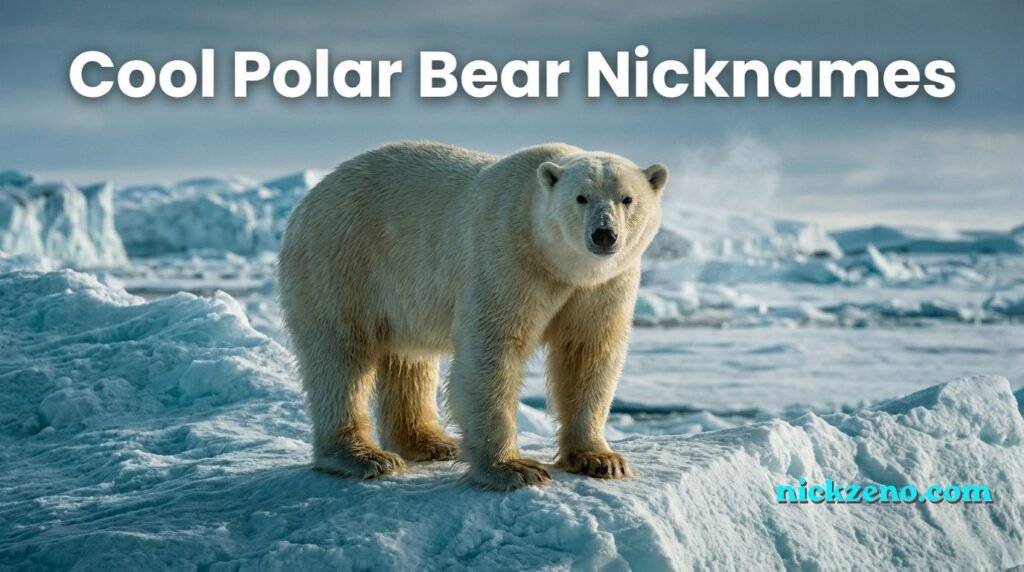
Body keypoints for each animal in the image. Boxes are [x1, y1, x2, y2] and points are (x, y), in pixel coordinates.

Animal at [277, 141, 668, 490]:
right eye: (581, 197)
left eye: (627, 199)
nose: (604, 235)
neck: (558, 263)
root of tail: (306, 203)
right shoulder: (508, 257)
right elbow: (492, 350)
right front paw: (514, 469)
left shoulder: (604, 285)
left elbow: (589, 353)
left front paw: (601, 459)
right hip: (343, 260)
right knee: (341, 356)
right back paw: (365, 456)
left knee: (408, 359)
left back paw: (431, 442)